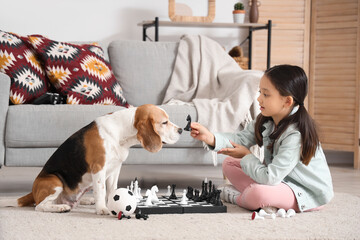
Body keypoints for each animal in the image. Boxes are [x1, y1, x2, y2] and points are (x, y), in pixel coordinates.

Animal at [16, 103, 183, 214]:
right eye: (164, 122)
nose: (181, 129)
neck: (122, 132)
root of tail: (33, 192)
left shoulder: (115, 168)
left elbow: (112, 190)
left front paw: (112, 203)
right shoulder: (99, 168)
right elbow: (101, 191)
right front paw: (102, 209)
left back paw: (85, 200)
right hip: (54, 181)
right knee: (39, 206)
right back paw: (60, 207)